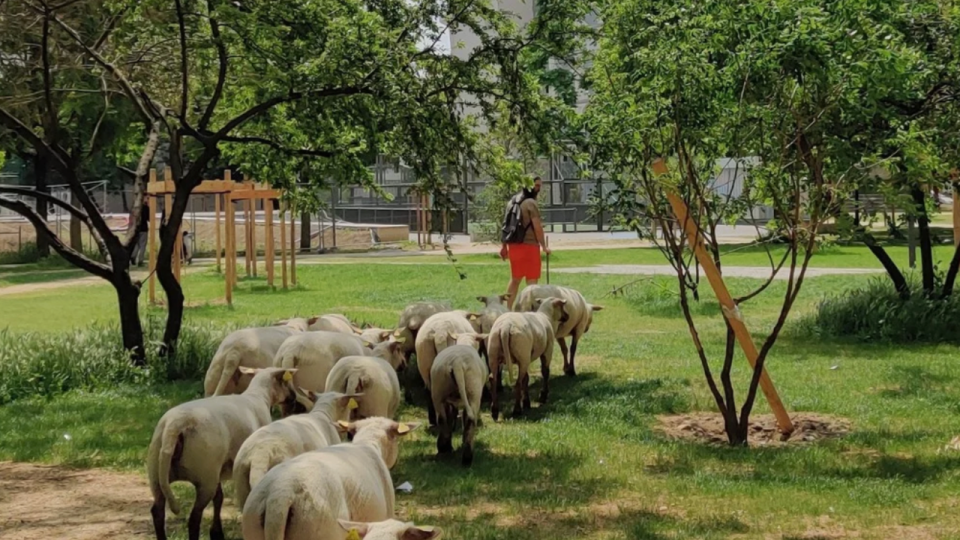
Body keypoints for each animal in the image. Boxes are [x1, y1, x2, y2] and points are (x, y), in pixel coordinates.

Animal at [148, 367, 298, 540]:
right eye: (286, 381)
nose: (294, 398)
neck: (259, 396)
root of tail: (175, 425)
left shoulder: (218, 470)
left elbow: (219, 498)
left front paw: (217, 533)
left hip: (157, 474)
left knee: (157, 512)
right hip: (205, 475)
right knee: (194, 518)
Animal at [430, 334, 488, 466]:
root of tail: (457, 362)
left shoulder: (452, 402)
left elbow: (451, 417)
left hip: (438, 391)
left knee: (442, 420)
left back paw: (443, 449)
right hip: (474, 392)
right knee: (470, 420)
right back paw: (466, 457)